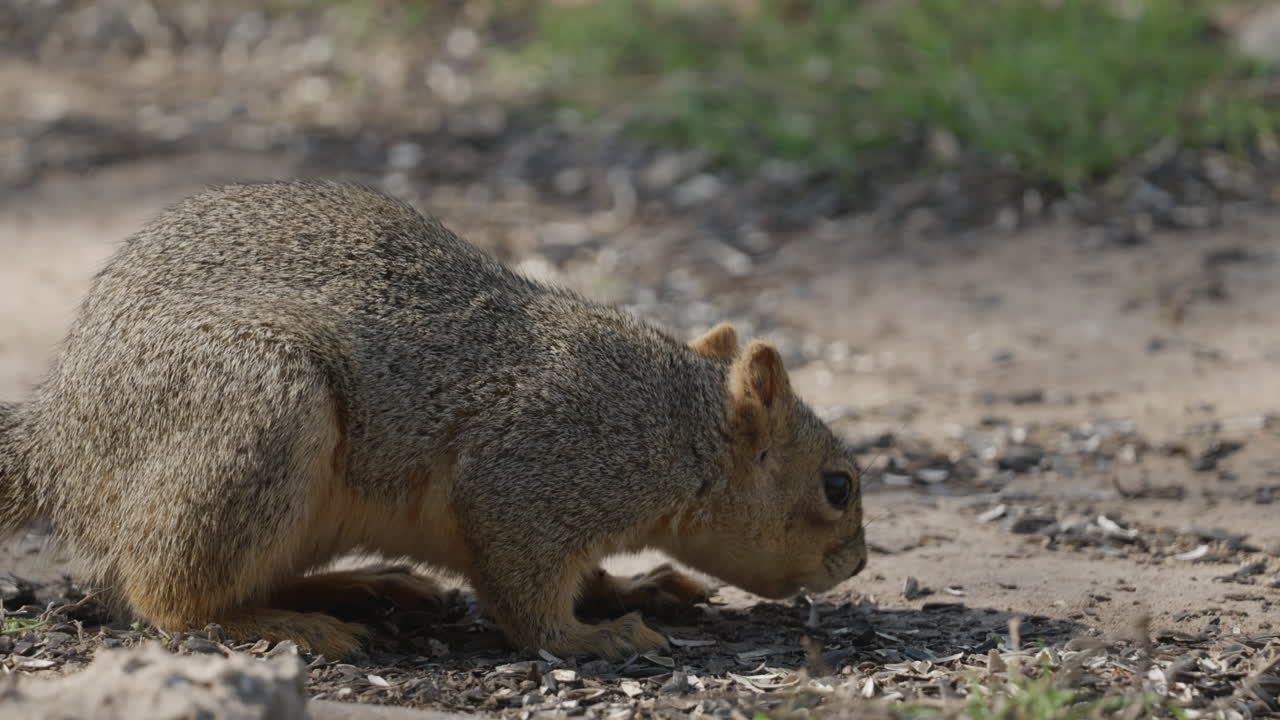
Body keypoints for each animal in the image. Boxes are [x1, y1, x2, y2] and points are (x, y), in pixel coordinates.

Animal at [0, 181, 867, 660]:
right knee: (165, 601)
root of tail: (59, 440)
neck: (674, 428)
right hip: (254, 413)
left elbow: (585, 573)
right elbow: (525, 596)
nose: (858, 563)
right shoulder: (530, 474)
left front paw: (635, 587)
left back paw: (366, 585)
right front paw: (592, 637)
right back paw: (298, 625)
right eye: (838, 486)